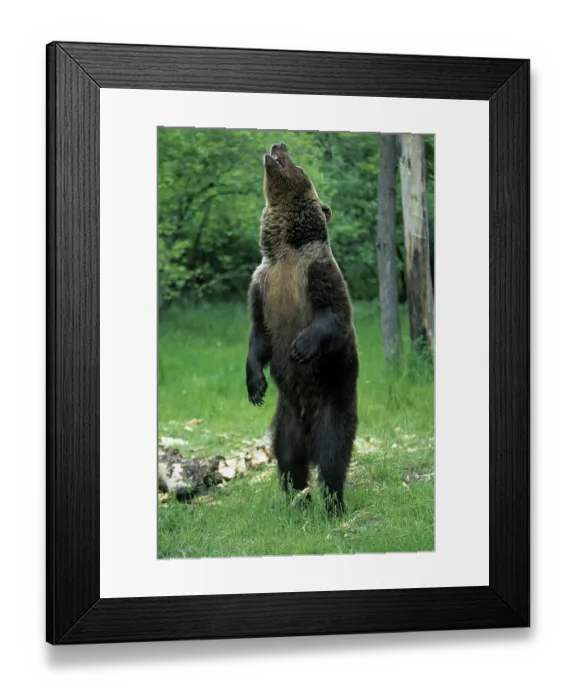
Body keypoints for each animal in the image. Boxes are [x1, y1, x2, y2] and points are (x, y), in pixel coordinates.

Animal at [245, 143, 359, 515]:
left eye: (300, 167)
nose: (277, 146)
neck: (287, 250)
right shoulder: (261, 287)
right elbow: (259, 335)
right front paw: (255, 386)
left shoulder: (317, 274)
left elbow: (334, 316)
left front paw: (300, 346)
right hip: (286, 419)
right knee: (288, 457)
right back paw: (295, 500)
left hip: (333, 399)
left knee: (333, 452)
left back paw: (333, 504)